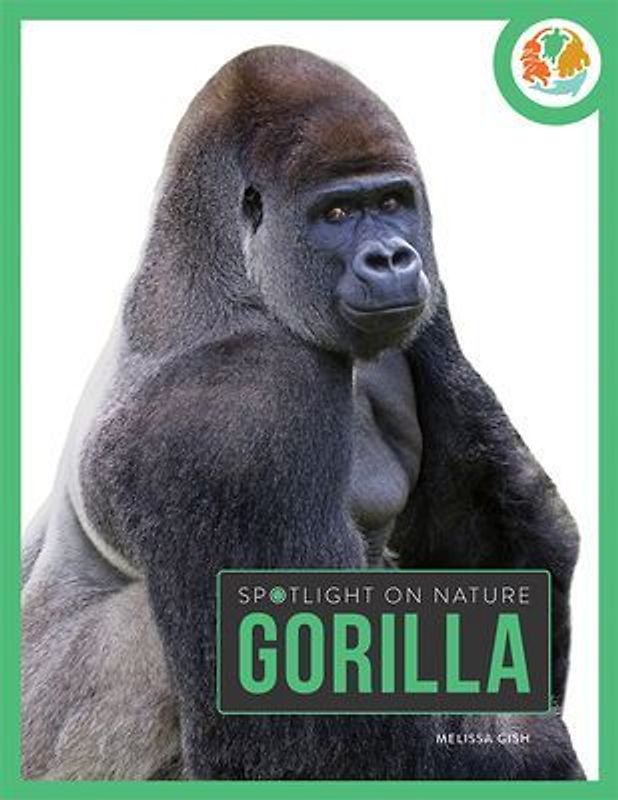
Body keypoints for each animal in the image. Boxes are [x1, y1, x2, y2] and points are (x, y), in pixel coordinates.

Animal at [21, 45, 583, 780]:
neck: (228, 273)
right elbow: (308, 734)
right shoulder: (243, 412)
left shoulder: (430, 305)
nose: (392, 257)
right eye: (336, 214)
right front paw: (536, 748)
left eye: (392, 202)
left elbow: (496, 547)